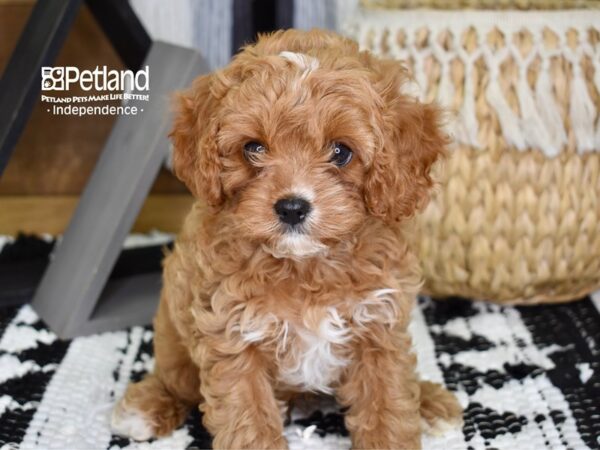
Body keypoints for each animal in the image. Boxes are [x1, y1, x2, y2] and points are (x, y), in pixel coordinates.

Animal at [112, 29, 462, 450]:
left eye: (341, 151)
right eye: (253, 148)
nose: (292, 207)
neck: (305, 266)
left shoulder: (379, 329)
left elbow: (388, 406)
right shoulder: (231, 336)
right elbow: (249, 423)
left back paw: (429, 403)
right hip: (172, 331)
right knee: (177, 379)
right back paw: (145, 407)